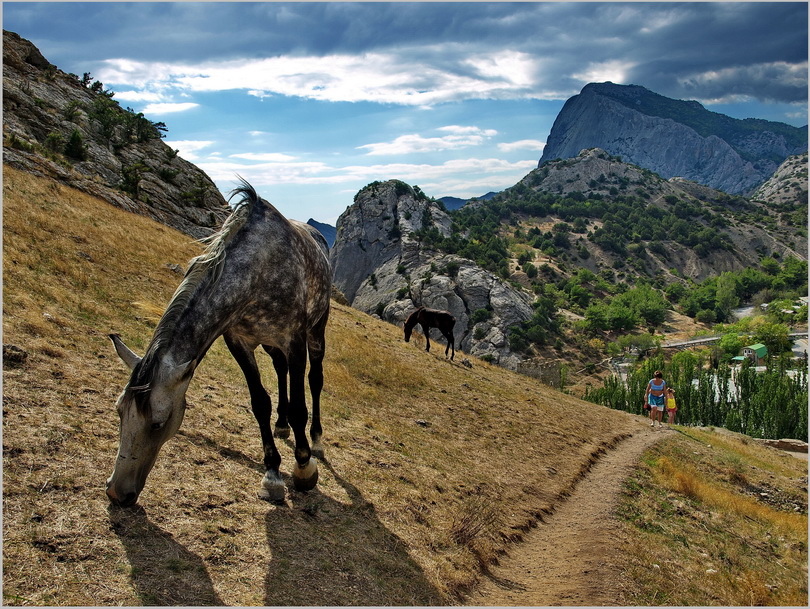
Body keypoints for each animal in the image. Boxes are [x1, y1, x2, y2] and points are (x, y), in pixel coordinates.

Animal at [106, 179, 328, 504]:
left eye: (158, 422)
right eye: (120, 410)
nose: (116, 491)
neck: (258, 269)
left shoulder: (295, 340)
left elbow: (300, 406)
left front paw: (304, 468)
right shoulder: (238, 341)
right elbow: (259, 402)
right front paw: (272, 473)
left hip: (316, 332)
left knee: (314, 380)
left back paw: (317, 441)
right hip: (270, 343)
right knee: (280, 369)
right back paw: (281, 424)